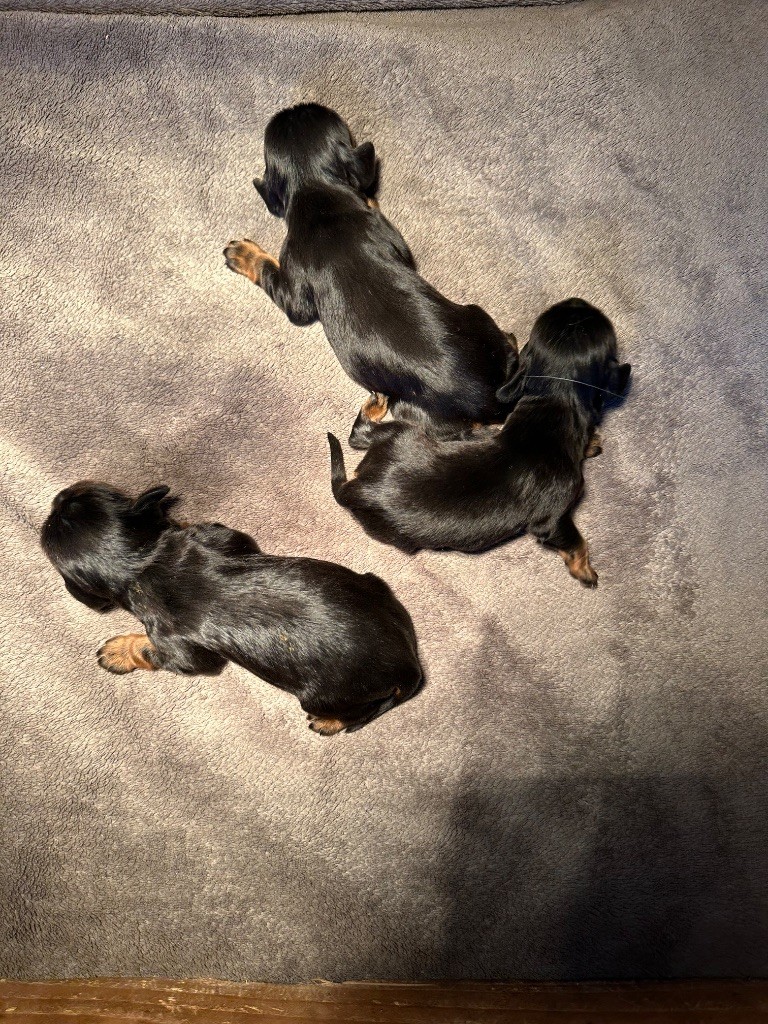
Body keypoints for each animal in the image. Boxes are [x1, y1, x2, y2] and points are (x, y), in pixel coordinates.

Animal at [40, 482, 423, 735]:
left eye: (47, 527)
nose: (57, 497)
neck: (145, 562)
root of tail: (409, 667)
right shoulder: (221, 536)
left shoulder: (178, 650)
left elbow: (150, 651)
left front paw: (119, 651)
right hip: (375, 586)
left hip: (322, 697)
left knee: (354, 715)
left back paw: (328, 723)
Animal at [327, 298, 631, 586]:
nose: (576, 301)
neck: (553, 404)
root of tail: (356, 488)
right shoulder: (552, 521)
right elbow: (576, 543)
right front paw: (586, 573)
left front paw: (591, 442)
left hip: (403, 434)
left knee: (360, 433)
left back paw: (376, 404)